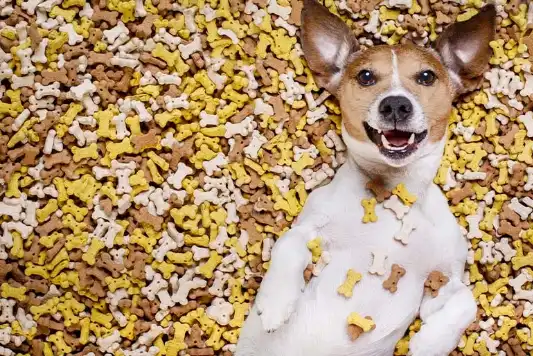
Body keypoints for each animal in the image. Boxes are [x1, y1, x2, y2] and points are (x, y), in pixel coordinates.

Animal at [236, 1, 494, 354]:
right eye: (366, 76)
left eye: (427, 76)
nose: (396, 104)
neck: (395, 192)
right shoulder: (311, 225)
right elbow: (289, 243)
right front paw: (276, 303)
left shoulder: (442, 278)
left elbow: (467, 300)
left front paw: (429, 343)